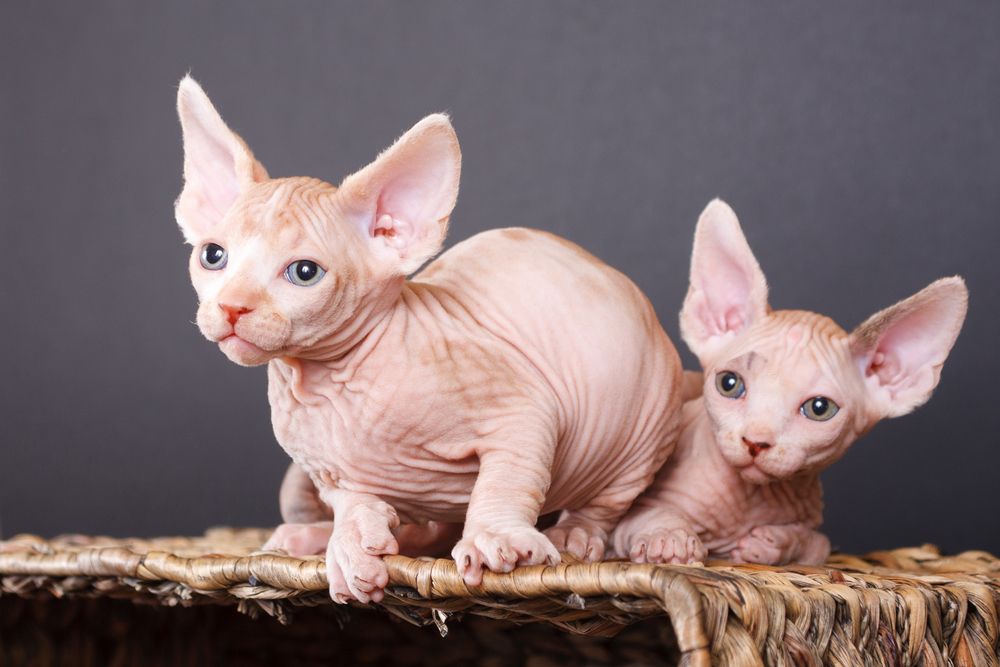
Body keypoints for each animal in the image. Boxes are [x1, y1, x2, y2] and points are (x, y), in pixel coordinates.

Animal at [174, 75, 688, 604]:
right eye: (213, 256)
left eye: (304, 272)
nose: (232, 307)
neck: (331, 386)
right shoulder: (329, 473)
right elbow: (352, 503)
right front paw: (351, 548)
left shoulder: (522, 411)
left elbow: (506, 479)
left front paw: (497, 538)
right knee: (430, 530)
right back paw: (316, 538)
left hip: (644, 429)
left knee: (607, 502)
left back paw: (574, 536)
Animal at [608, 201, 968, 568]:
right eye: (729, 384)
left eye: (819, 408)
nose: (755, 443)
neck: (748, 498)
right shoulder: (626, 521)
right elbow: (654, 515)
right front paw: (670, 540)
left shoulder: (818, 538)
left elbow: (819, 543)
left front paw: (776, 542)